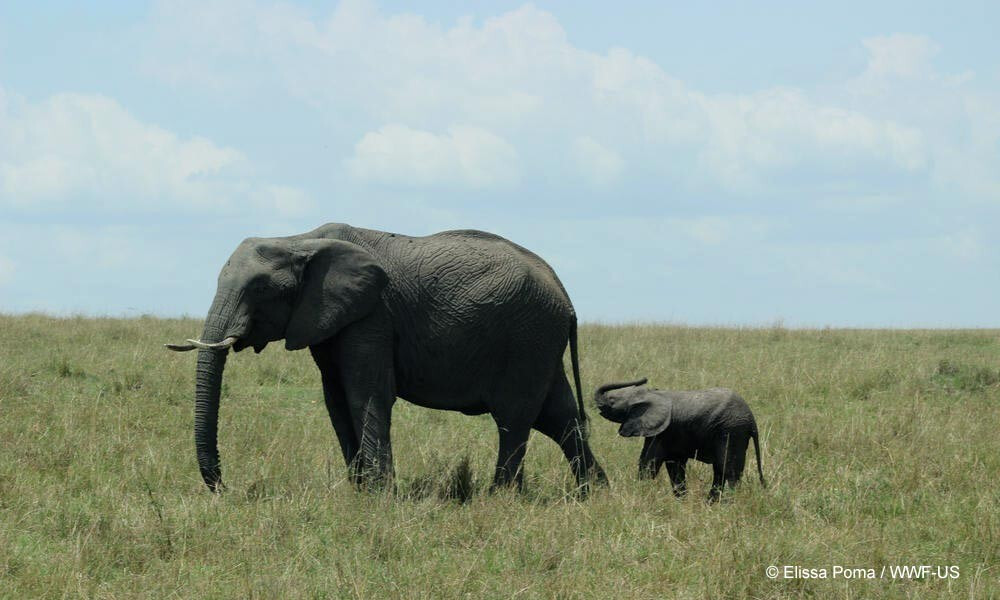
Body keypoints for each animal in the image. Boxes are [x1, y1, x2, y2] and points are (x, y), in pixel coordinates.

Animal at [167, 223, 604, 494]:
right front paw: (359, 490)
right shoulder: (328, 318)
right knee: (559, 416)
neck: (300, 240)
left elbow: (366, 392)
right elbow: (335, 399)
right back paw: (594, 493)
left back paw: (499, 497)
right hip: (539, 341)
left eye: (260, 288)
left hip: (527, 336)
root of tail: (564, 294)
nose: (225, 488)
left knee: (515, 418)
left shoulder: (373, 313)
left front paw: (379, 495)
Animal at [592, 380, 764, 502]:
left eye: (612, 400)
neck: (653, 394)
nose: (643, 379)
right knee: (720, 470)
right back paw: (710, 503)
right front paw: (681, 501)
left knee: (728, 470)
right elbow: (673, 466)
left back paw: (728, 503)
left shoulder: (665, 431)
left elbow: (650, 463)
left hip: (732, 431)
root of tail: (752, 421)